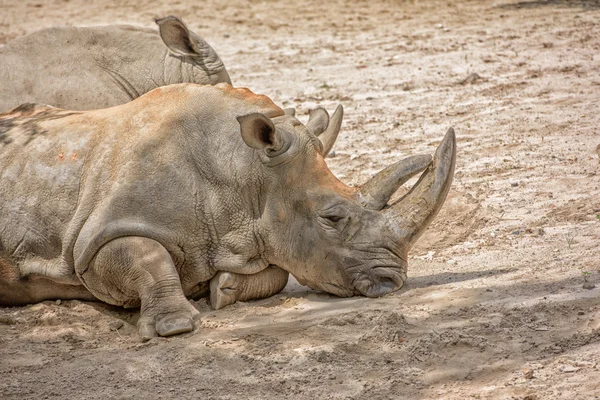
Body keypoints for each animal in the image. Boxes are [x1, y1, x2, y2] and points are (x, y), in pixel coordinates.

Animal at [0, 83, 452, 340]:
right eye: (332, 218)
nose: (393, 282)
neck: (244, 173)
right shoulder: (96, 239)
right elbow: (148, 256)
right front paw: (175, 327)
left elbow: (277, 270)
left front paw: (224, 289)